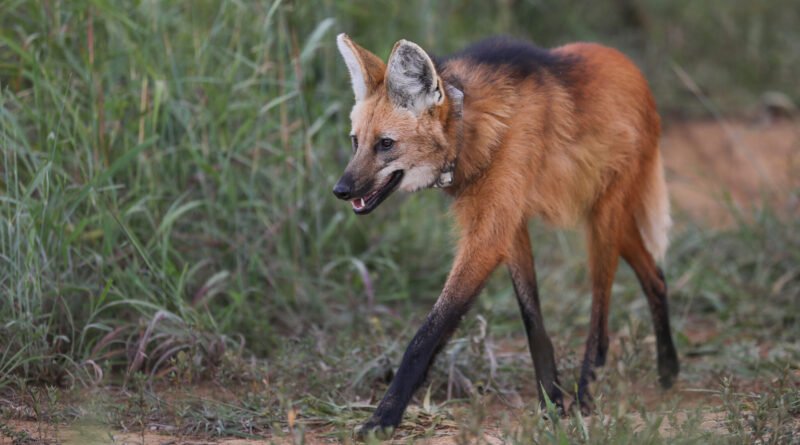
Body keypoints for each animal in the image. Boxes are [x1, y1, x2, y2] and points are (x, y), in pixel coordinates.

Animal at [332, 34, 680, 438]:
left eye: (385, 144)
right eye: (355, 142)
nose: (341, 190)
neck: (473, 129)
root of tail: (633, 69)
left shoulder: (489, 233)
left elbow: (427, 334)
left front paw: (383, 417)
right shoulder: (509, 225)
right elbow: (533, 321)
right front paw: (551, 402)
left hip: (604, 220)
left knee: (601, 313)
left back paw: (588, 391)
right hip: (606, 215)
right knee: (655, 276)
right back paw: (668, 370)